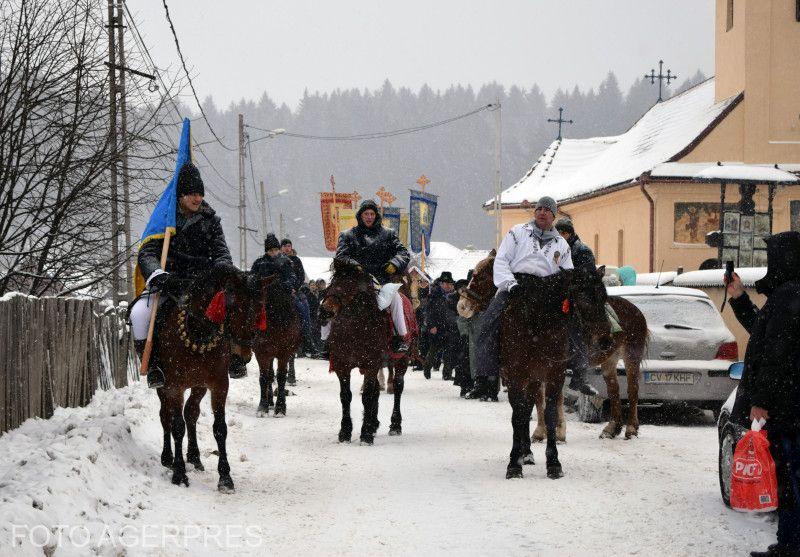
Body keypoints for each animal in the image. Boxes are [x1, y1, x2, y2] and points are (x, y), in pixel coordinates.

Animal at [153, 264, 272, 490]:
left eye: (259, 308)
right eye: (233, 306)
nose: (242, 356)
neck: (198, 332)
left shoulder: (219, 384)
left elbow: (220, 428)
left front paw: (225, 477)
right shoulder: (174, 386)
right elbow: (177, 427)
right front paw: (179, 473)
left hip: (199, 385)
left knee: (191, 413)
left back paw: (194, 457)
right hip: (163, 387)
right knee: (166, 416)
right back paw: (168, 458)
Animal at [253, 280, 300, 414]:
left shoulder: (284, 353)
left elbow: (281, 377)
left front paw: (280, 408)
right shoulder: (261, 353)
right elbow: (264, 377)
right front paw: (262, 407)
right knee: (270, 375)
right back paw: (269, 401)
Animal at [318, 258, 412, 446]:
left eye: (348, 285)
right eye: (332, 282)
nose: (324, 311)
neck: (355, 327)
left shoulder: (371, 364)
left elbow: (367, 396)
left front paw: (366, 434)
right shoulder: (342, 365)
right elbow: (346, 396)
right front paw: (345, 432)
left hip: (401, 360)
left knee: (398, 387)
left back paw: (395, 425)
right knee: (376, 390)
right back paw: (374, 423)